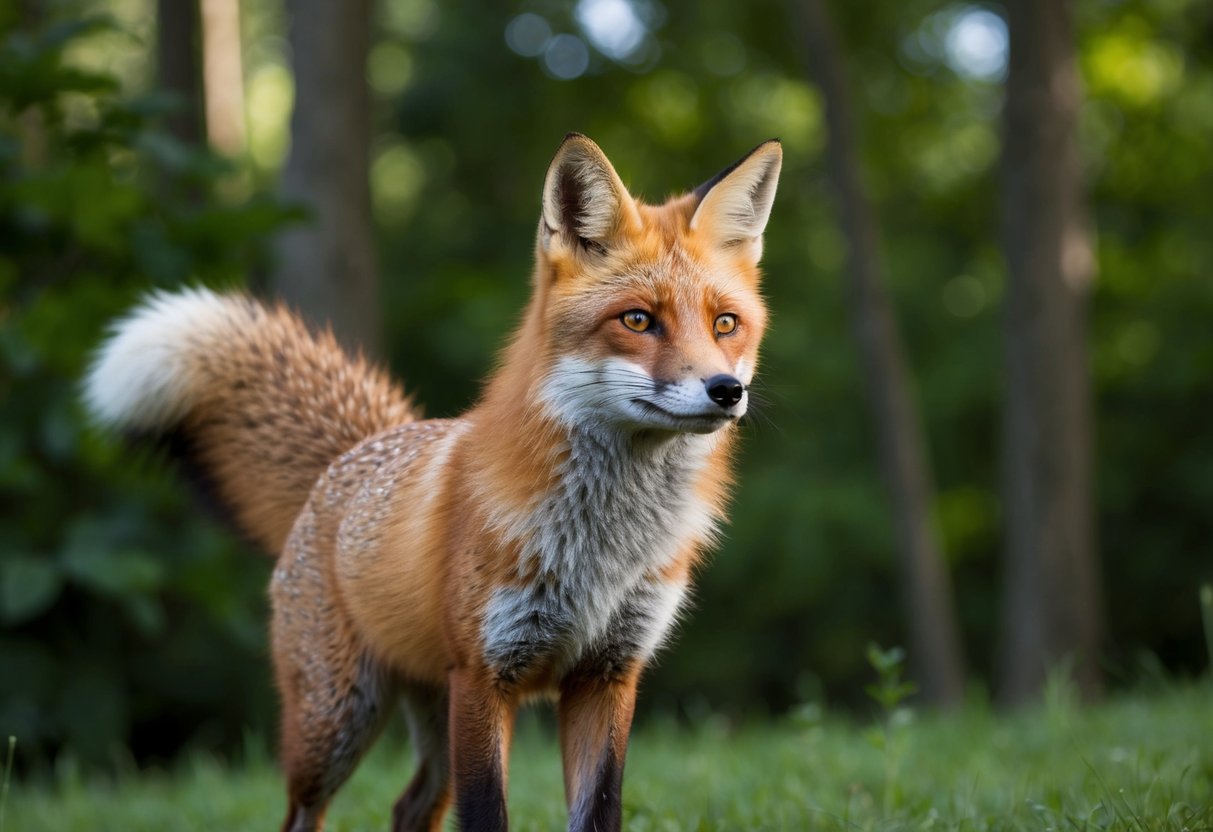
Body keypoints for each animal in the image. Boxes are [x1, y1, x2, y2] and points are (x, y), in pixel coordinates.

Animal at [84, 133, 782, 831]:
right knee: (304, 816)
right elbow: (487, 816)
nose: (726, 390)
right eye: (637, 321)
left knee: (407, 806)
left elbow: (598, 813)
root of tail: (355, 453)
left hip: (429, 721)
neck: (604, 547)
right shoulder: (482, 676)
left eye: (725, 324)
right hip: (337, 725)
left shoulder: (607, 676)